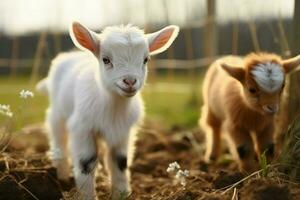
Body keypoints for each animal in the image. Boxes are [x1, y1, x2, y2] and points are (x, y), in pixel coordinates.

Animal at [36, 22, 179, 200]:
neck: (114, 107)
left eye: (146, 59)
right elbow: (86, 163)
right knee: (59, 143)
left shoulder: (123, 132)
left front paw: (122, 193)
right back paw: (61, 176)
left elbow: (120, 162)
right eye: (106, 60)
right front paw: (87, 195)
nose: (130, 81)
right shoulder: (82, 128)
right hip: (57, 115)